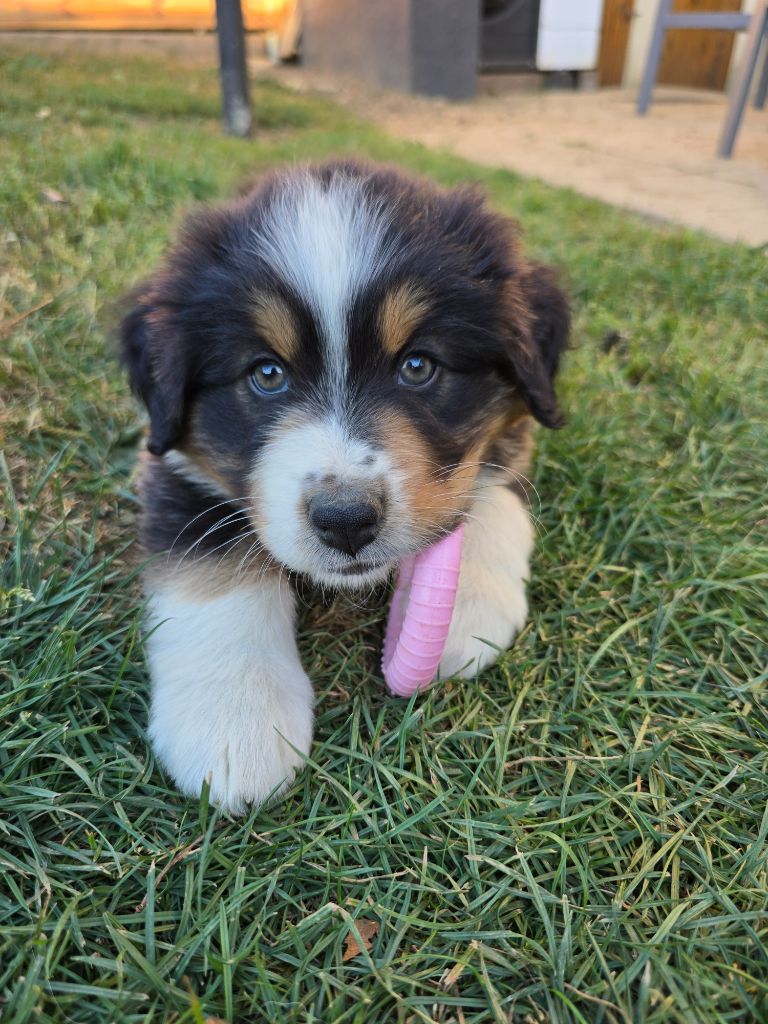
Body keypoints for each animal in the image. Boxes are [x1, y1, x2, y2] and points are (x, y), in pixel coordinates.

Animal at [120, 159, 569, 814]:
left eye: (418, 366)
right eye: (266, 374)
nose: (346, 520)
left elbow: (485, 485)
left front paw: (467, 603)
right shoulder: (174, 469)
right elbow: (213, 569)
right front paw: (234, 723)